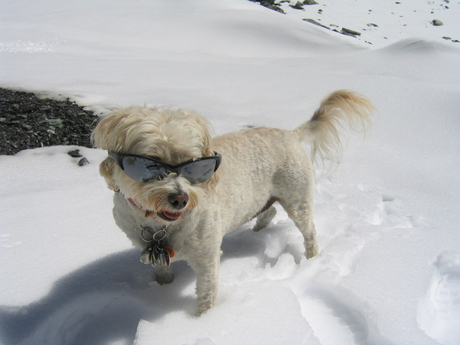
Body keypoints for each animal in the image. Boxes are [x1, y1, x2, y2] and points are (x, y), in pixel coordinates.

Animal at [90, 89, 374, 314]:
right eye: (150, 165)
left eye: (194, 165)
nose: (180, 199)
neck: (160, 226)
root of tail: (290, 133)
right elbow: (161, 269)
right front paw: (161, 288)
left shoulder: (207, 258)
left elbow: (206, 295)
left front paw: (202, 322)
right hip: (263, 196)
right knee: (269, 213)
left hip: (298, 198)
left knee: (309, 231)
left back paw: (312, 258)